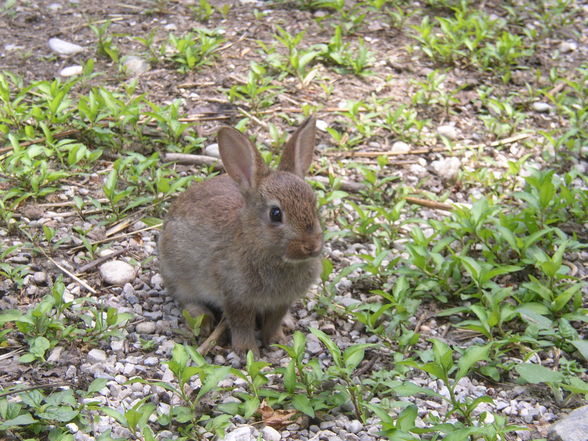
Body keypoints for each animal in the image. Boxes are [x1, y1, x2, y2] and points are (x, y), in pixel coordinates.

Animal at [158, 116, 324, 354]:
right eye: (275, 214)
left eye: (314, 204)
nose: (311, 246)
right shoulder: (236, 297)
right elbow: (241, 323)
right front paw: (247, 350)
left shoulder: (282, 302)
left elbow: (274, 320)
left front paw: (278, 341)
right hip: (177, 272)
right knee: (186, 299)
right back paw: (204, 319)